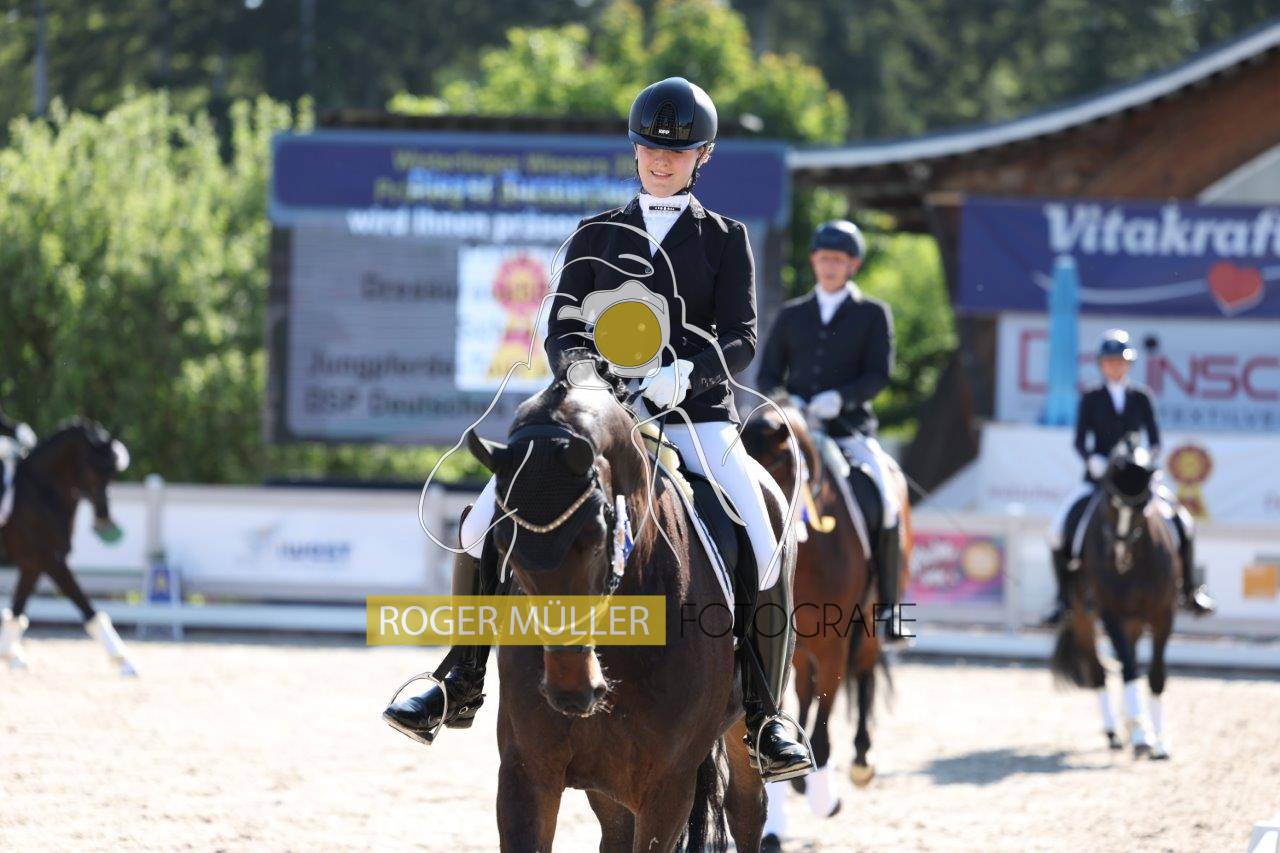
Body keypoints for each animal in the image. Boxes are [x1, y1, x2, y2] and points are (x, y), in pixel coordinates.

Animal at [0, 419, 137, 675]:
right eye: (92, 470)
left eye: (112, 474)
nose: (104, 520)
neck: (42, 491)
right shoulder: (49, 559)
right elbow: (85, 605)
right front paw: (122, 659)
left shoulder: (33, 564)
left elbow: (17, 610)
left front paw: (9, 653)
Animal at [465, 351, 795, 852]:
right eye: (504, 542)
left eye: (597, 534)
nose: (572, 691)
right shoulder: (527, 775)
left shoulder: (667, 788)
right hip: (609, 784)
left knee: (747, 811)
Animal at [741, 399, 910, 827]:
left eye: (781, 462)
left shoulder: (834, 642)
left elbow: (825, 715)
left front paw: (823, 795)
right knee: (804, 688)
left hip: (867, 627)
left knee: (863, 673)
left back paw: (860, 761)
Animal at [1050, 433, 1177, 759]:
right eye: (1110, 500)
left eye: (1144, 504)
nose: (1119, 555)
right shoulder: (1109, 613)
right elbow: (1130, 670)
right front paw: (1142, 736)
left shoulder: (1164, 614)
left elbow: (1155, 675)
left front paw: (1157, 741)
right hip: (1083, 618)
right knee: (1100, 672)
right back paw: (1115, 732)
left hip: (1134, 621)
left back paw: (1133, 726)